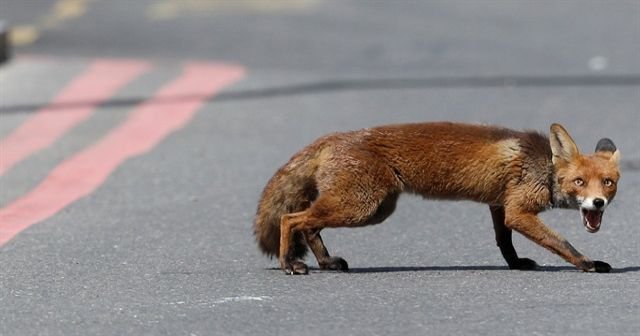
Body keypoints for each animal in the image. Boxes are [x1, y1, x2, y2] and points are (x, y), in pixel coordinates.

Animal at [254, 122, 620, 274]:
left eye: (608, 184)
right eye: (579, 182)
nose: (598, 204)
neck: (543, 166)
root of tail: (334, 136)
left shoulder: (500, 204)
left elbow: (504, 242)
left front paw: (515, 264)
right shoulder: (518, 210)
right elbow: (562, 244)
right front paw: (588, 264)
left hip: (372, 209)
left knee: (309, 225)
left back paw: (326, 262)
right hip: (361, 207)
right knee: (291, 219)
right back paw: (289, 264)